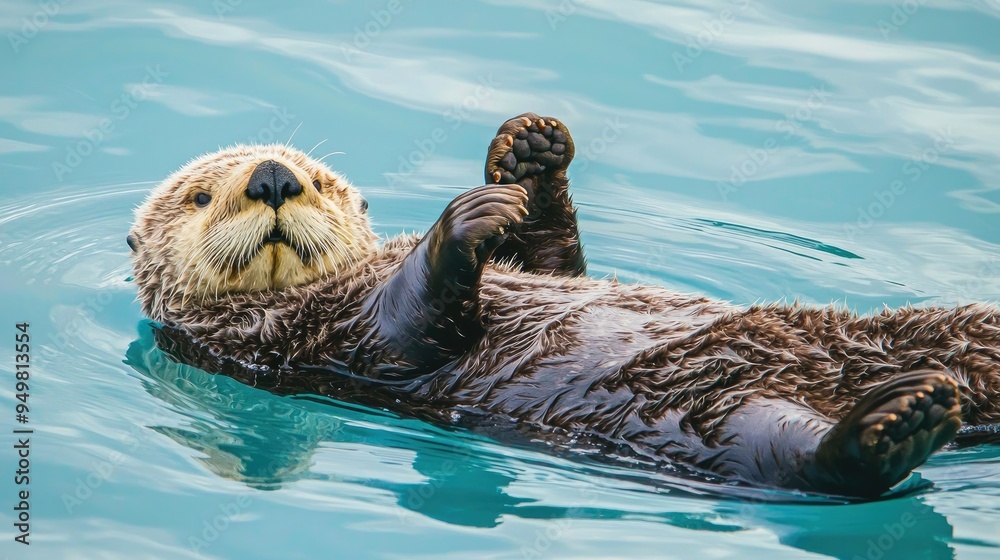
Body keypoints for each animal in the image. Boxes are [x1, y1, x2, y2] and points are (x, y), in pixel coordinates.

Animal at [128, 113, 1000, 499]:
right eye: (201, 195)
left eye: (321, 183)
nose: (275, 178)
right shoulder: (313, 345)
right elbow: (411, 328)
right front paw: (464, 221)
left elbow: (550, 259)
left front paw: (530, 156)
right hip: (716, 424)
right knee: (808, 463)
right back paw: (899, 423)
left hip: (935, 330)